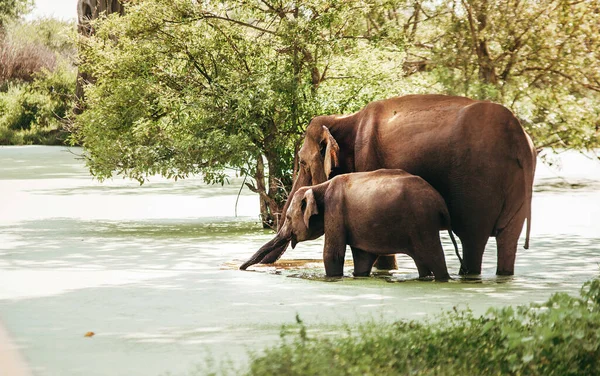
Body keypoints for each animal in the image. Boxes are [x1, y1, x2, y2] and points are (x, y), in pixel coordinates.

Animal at [243, 169, 464, 280]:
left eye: (288, 218)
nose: (241, 269)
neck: (320, 186)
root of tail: (441, 204)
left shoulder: (335, 211)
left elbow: (332, 254)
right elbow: (363, 257)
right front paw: (359, 276)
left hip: (422, 221)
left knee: (433, 255)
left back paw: (443, 279)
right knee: (421, 260)